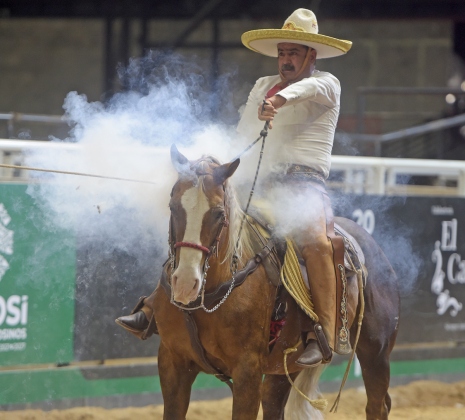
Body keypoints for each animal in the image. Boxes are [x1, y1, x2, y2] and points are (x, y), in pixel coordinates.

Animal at [152, 146, 398, 418]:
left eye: (219, 214)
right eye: (173, 206)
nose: (186, 283)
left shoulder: (247, 372)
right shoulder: (172, 362)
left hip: (376, 353)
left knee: (377, 405)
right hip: (284, 367)